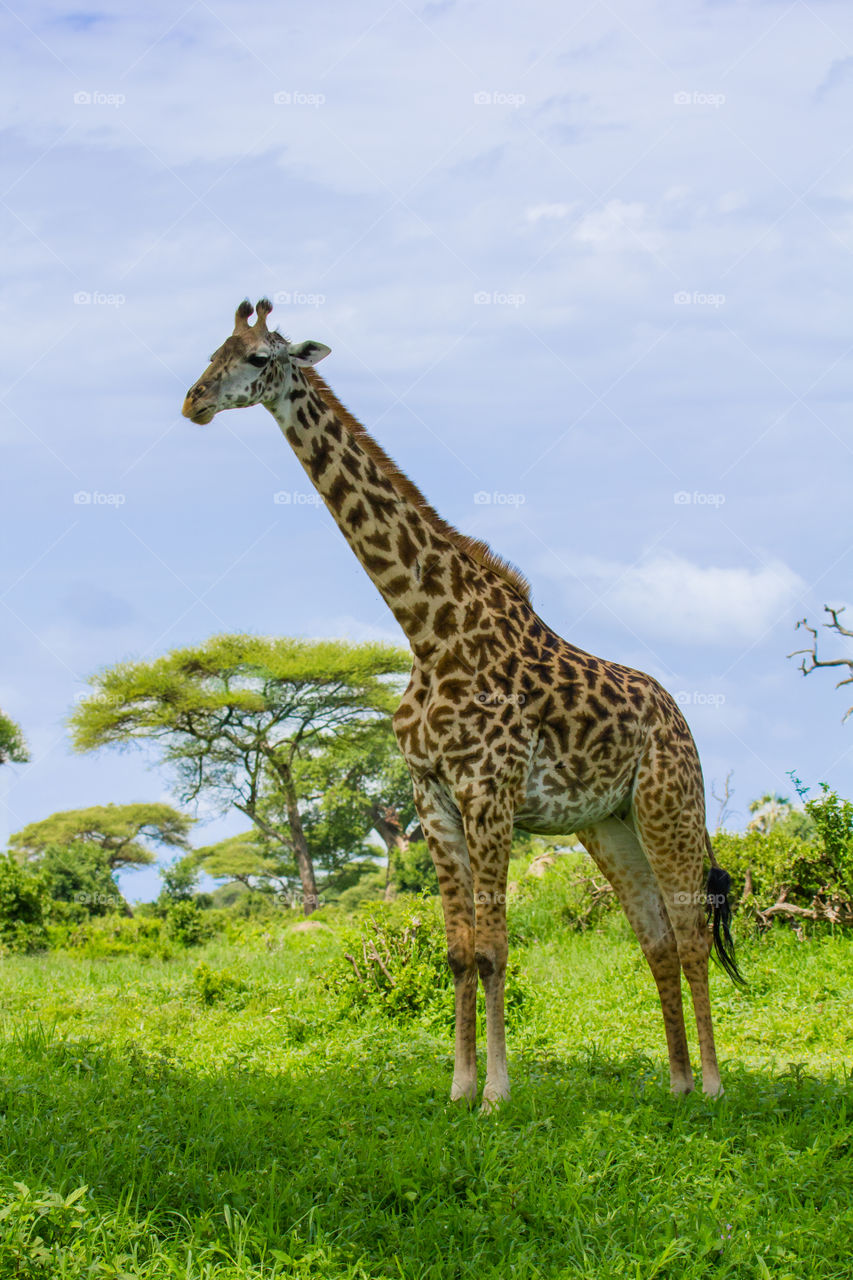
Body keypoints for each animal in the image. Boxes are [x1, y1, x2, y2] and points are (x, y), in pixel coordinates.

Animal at [182, 299, 743, 1109]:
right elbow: (454, 952)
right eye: (213, 350)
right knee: (657, 939)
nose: (193, 402)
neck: (428, 630)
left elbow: (494, 950)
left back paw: (712, 1086)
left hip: (670, 804)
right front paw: (457, 1087)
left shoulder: (490, 792)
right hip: (608, 824)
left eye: (258, 358)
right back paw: (671, 1083)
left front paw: (498, 1093)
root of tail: (679, 717)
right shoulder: (432, 796)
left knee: (692, 933)